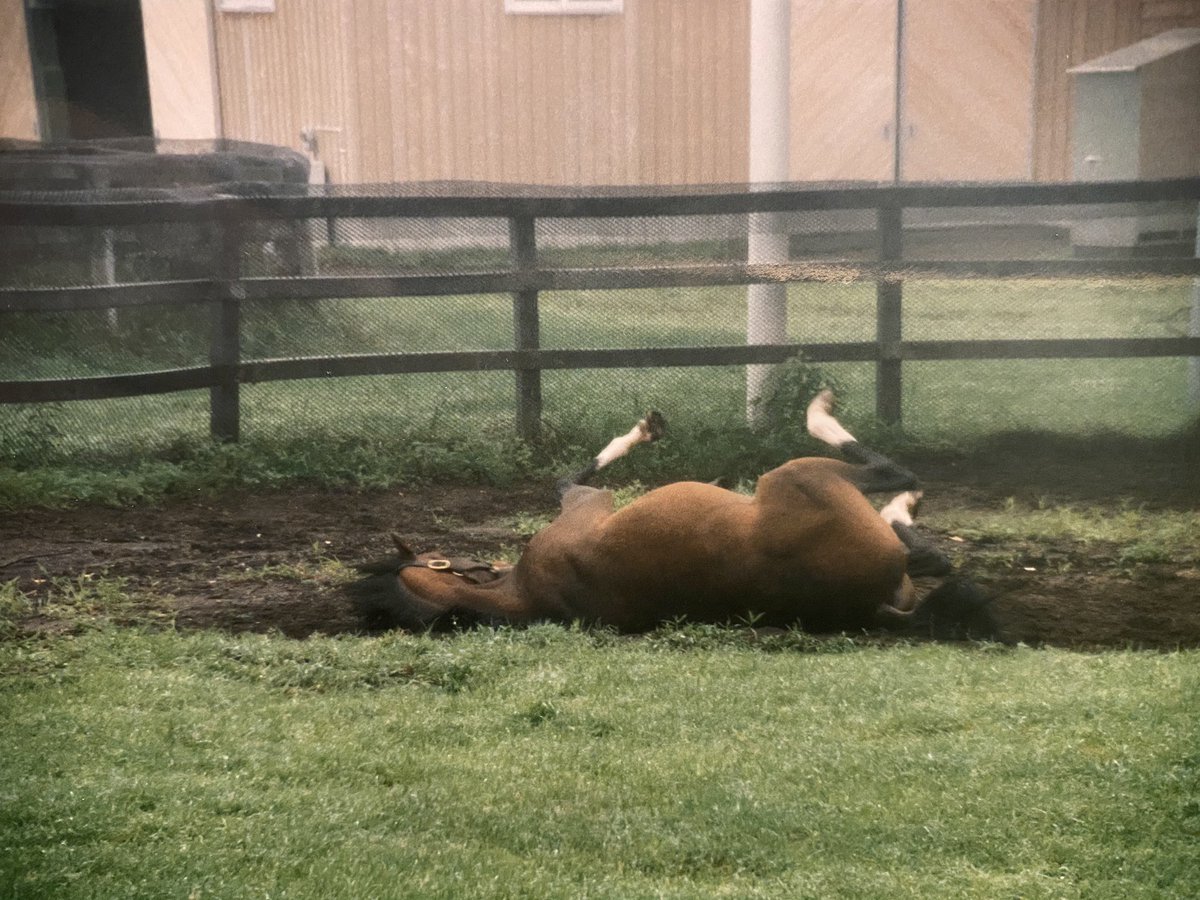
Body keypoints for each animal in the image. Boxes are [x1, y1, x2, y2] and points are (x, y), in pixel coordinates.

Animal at [350, 388, 998, 643]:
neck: (524, 591)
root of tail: (871, 604)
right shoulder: (586, 505)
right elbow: (572, 476)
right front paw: (642, 431)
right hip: (800, 474)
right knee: (896, 477)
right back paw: (834, 427)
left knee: (930, 550)